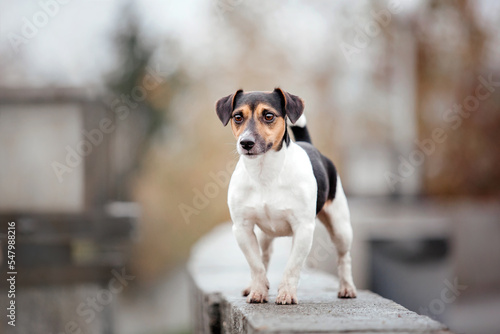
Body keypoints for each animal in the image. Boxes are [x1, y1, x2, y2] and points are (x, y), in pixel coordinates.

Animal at [215, 87, 356, 304]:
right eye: (237, 117)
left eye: (268, 116)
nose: (246, 142)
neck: (265, 173)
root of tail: (309, 145)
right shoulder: (242, 228)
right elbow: (256, 265)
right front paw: (258, 290)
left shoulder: (303, 229)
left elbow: (292, 267)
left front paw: (287, 293)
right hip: (263, 235)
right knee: (264, 257)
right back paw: (252, 286)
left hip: (341, 228)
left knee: (344, 257)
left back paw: (347, 288)